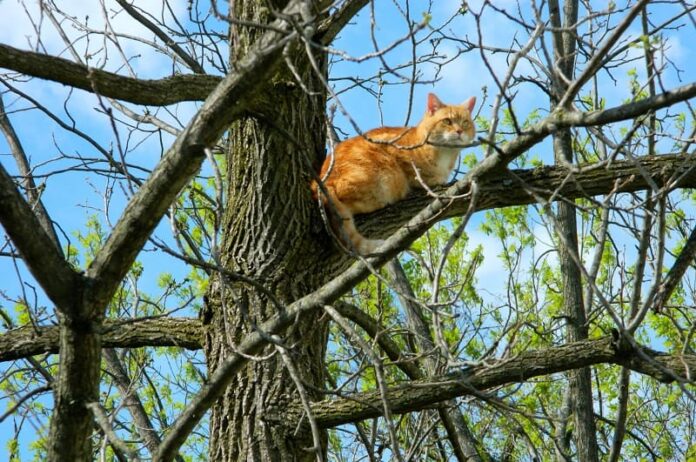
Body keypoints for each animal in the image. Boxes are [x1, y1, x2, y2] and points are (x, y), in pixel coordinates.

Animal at [312, 92, 476, 254]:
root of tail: (320, 182)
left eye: (465, 123)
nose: (459, 131)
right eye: (447, 121)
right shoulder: (397, 152)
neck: (444, 155)